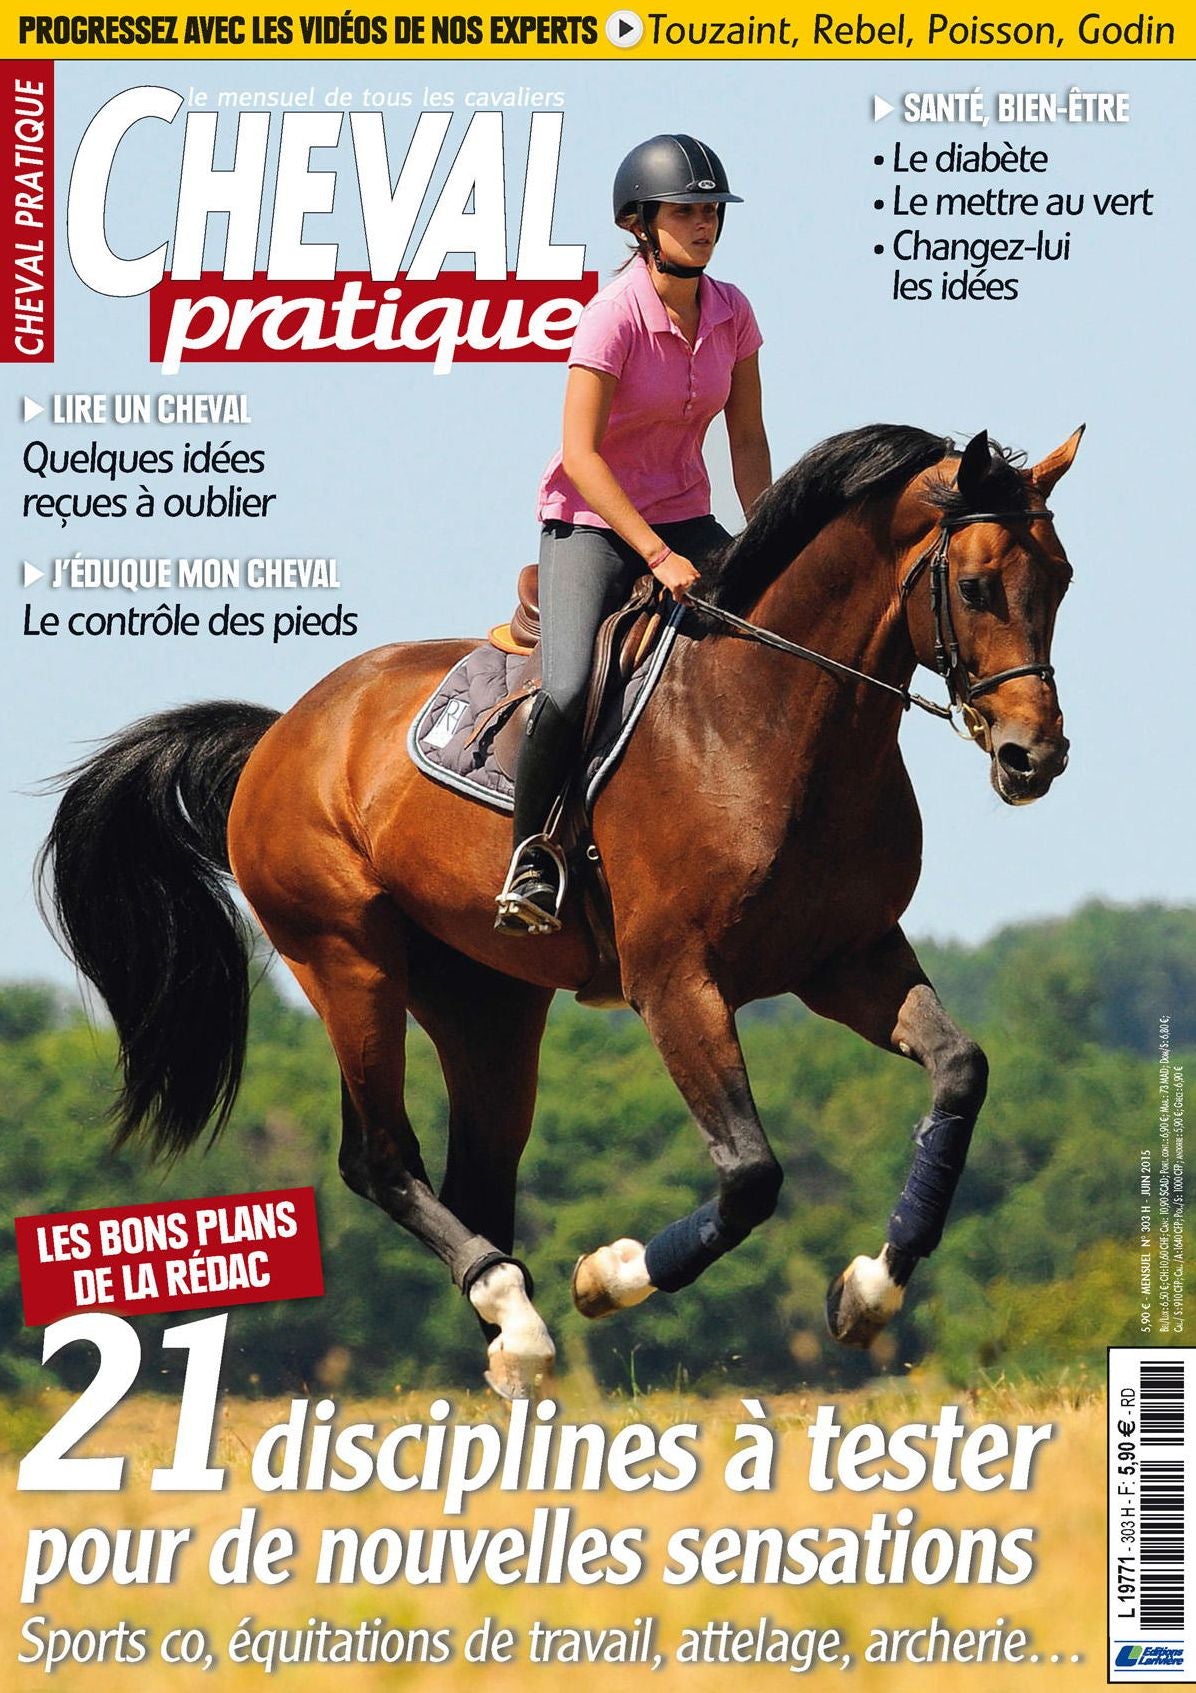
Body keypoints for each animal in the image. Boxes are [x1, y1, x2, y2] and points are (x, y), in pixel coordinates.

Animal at [40, 422, 1081, 1398]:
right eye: (977, 586)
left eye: (1061, 580)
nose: (1034, 757)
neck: (770, 719)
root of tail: (280, 734)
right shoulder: (676, 984)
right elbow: (750, 1174)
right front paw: (605, 1277)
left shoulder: (848, 959)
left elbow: (960, 1070)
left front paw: (870, 1289)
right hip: (347, 960)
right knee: (379, 1157)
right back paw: (524, 1318)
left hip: (486, 1003)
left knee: (474, 1177)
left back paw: (511, 1350)